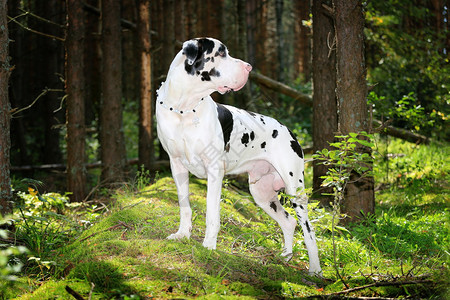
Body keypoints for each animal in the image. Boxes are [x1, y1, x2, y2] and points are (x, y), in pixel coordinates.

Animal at [156, 37, 322, 274]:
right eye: (220, 53)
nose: (249, 67)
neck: (183, 109)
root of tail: (289, 131)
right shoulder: (176, 165)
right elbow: (184, 206)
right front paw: (182, 234)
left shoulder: (215, 170)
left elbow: (212, 213)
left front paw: (209, 245)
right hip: (261, 193)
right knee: (288, 221)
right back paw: (286, 255)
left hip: (294, 189)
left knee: (309, 229)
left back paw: (315, 269)